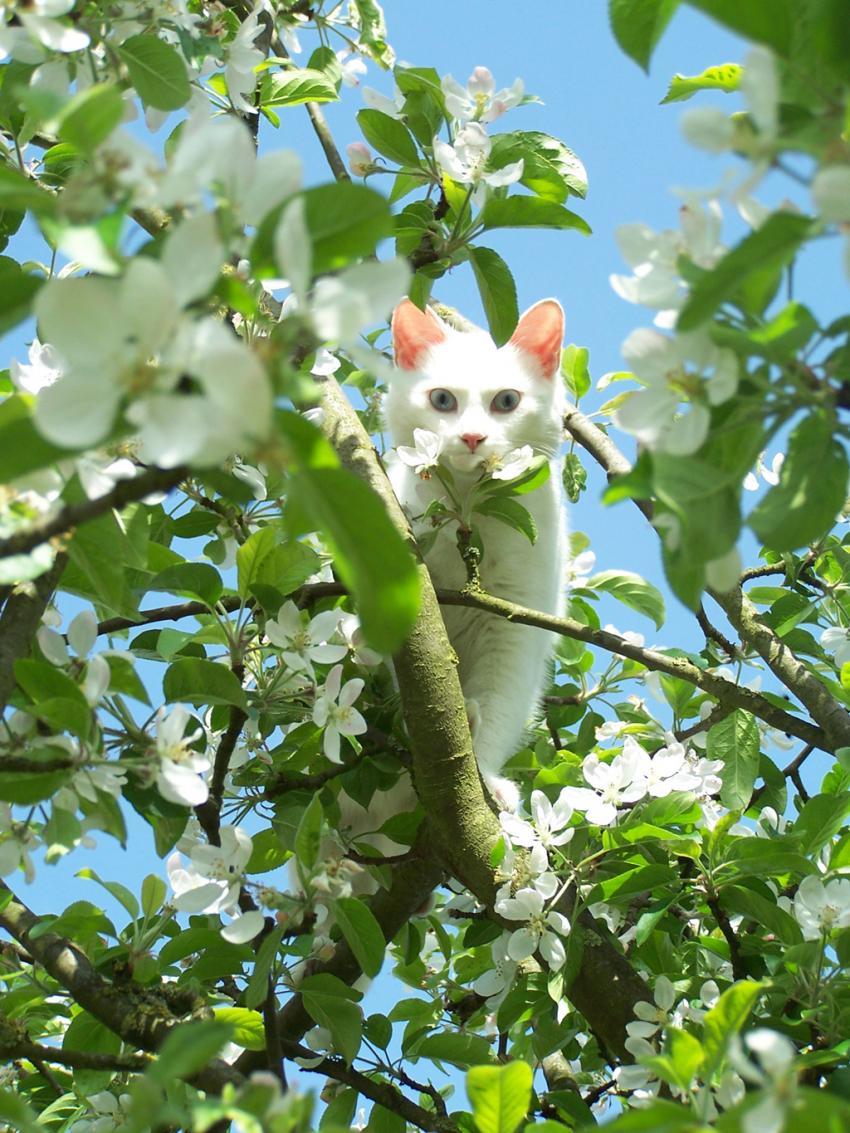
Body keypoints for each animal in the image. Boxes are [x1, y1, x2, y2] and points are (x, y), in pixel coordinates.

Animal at [385, 296, 573, 802]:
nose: (472, 437)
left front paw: (484, 775)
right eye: (442, 400)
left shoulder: (515, 623)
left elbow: (500, 703)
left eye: (506, 401)